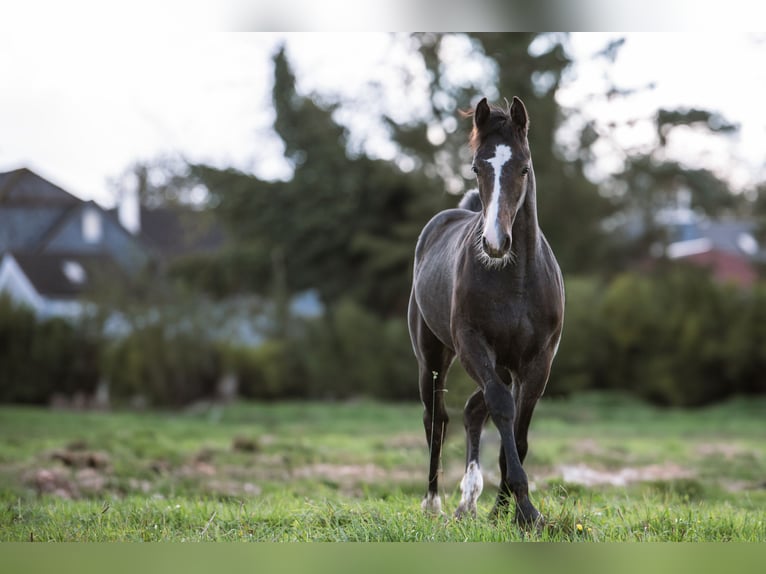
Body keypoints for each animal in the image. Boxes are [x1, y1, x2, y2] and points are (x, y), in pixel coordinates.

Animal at [408, 97, 564, 528]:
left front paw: (508, 509)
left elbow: (520, 428)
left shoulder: (538, 361)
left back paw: (470, 499)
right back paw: (434, 503)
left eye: (524, 167)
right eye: (477, 167)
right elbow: (502, 407)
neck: (516, 279)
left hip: (505, 364)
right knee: (437, 418)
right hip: (432, 355)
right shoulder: (472, 345)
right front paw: (524, 508)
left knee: (471, 410)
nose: (495, 243)